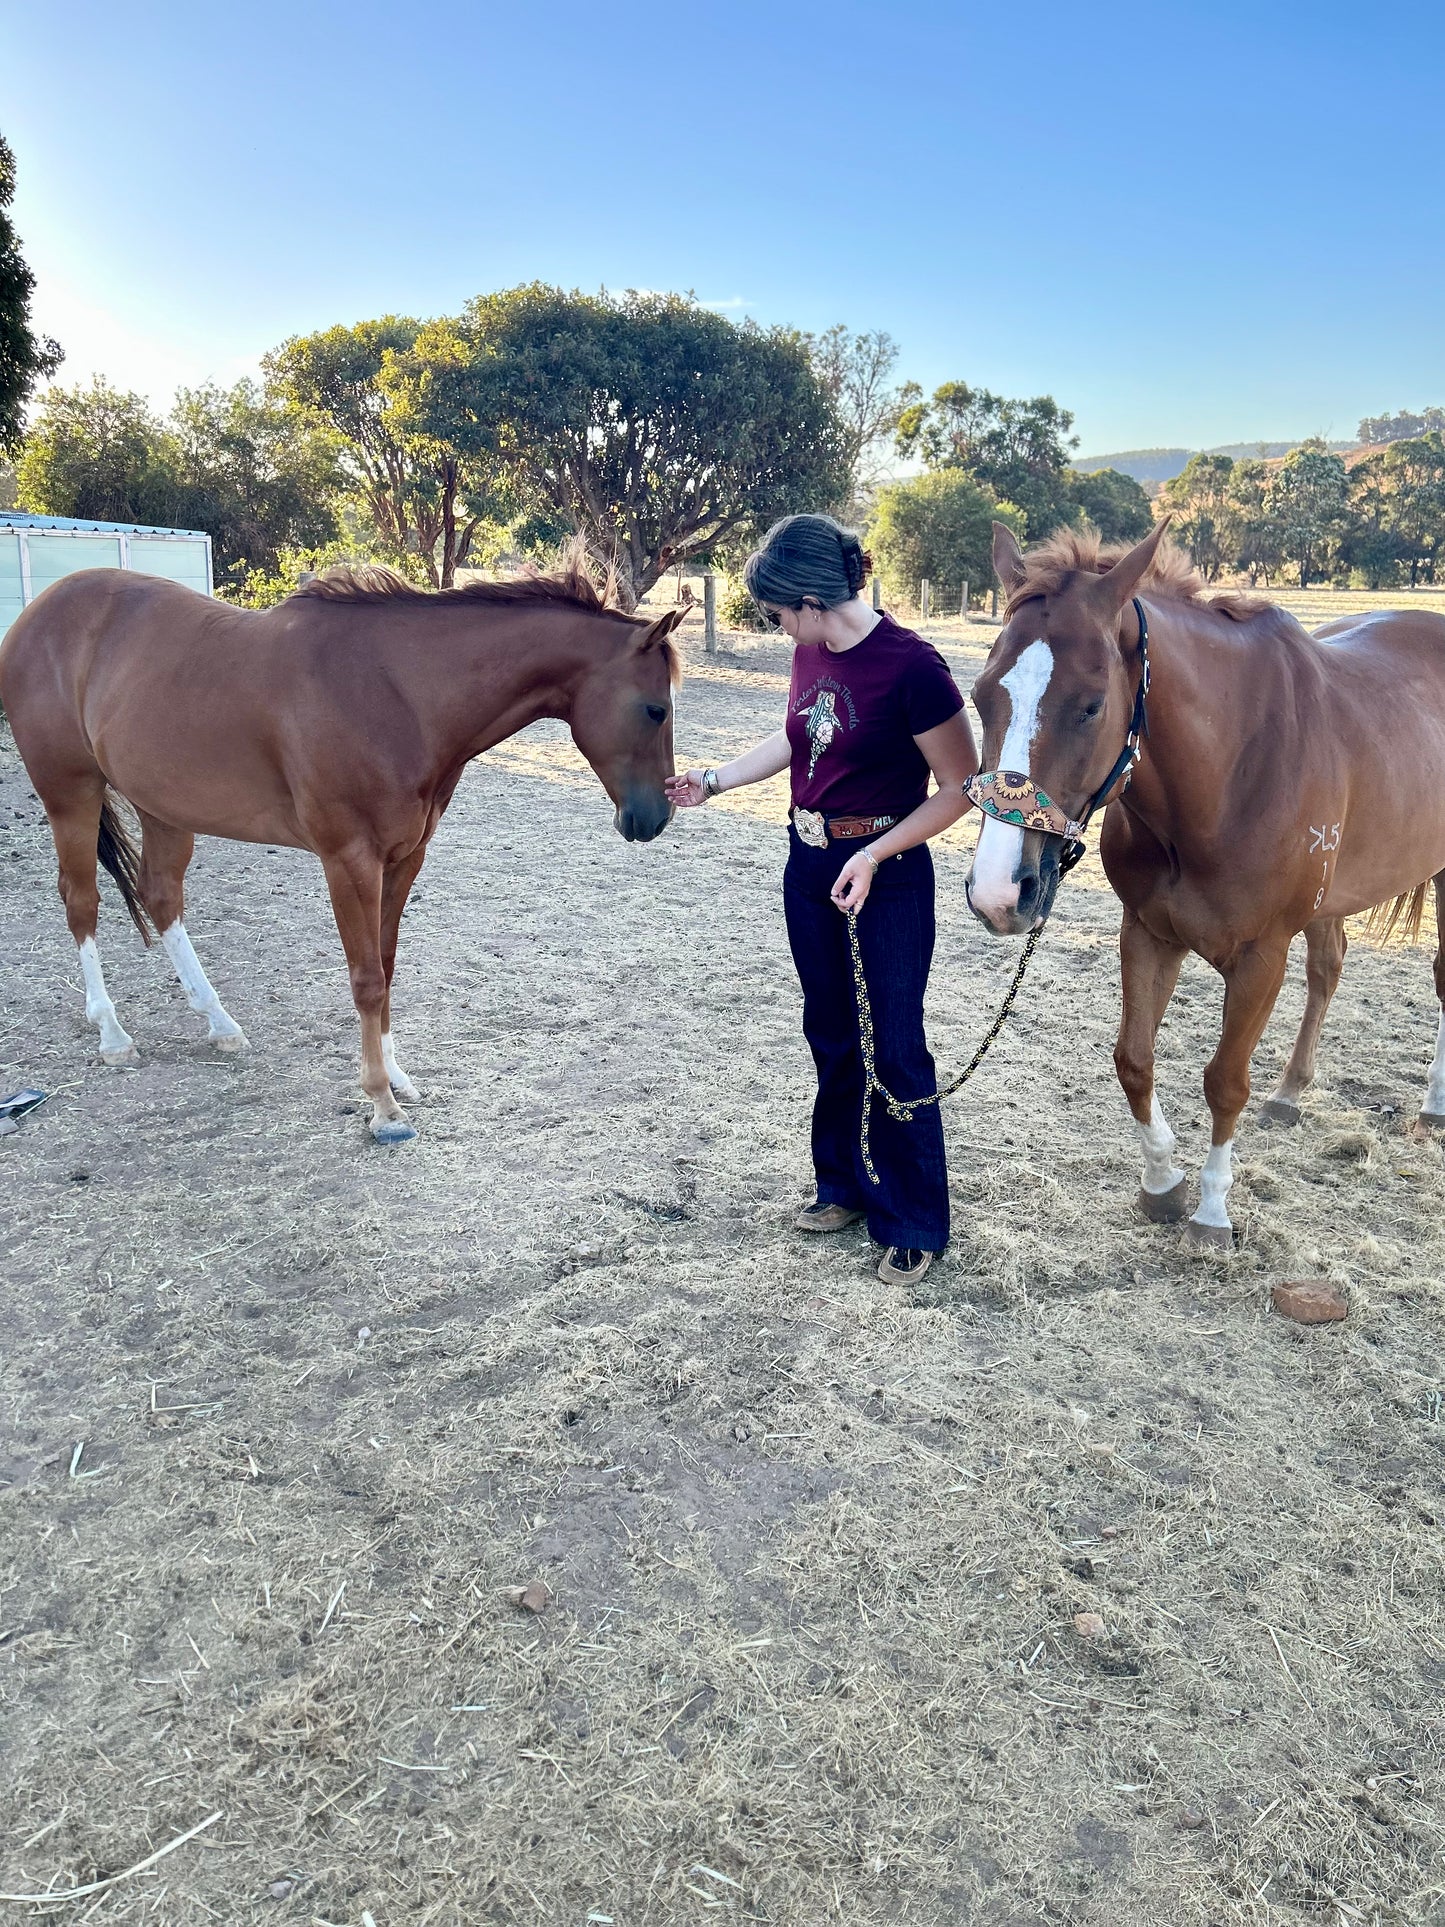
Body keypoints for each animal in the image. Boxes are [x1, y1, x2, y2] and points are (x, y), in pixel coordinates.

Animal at [0, 551, 682, 1133]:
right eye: (655, 709)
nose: (652, 818)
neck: (398, 693)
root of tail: (41, 613)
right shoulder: (349, 862)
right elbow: (365, 978)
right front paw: (380, 1104)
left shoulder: (403, 860)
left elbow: (386, 965)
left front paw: (397, 1077)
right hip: (71, 794)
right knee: (82, 902)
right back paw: (113, 1034)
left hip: (163, 805)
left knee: (160, 897)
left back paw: (220, 1022)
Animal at [967, 524, 1445, 1248]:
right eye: (979, 694)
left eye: (1090, 706)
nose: (999, 895)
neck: (1228, 769)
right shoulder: (1147, 933)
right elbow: (1134, 1059)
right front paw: (1162, 1182)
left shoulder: (1259, 958)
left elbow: (1224, 1081)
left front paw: (1213, 1211)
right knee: (1328, 969)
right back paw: (1289, 1093)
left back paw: (1433, 1107)